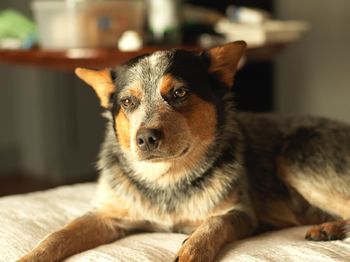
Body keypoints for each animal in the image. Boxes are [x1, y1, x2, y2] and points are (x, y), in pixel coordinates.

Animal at [19, 42, 350, 260]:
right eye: (127, 102)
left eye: (179, 93)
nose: (145, 137)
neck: (166, 180)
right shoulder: (107, 216)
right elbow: (59, 234)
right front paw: (31, 256)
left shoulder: (240, 214)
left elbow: (211, 226)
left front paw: (191, 250)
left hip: (297, 158)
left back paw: (330, 228)